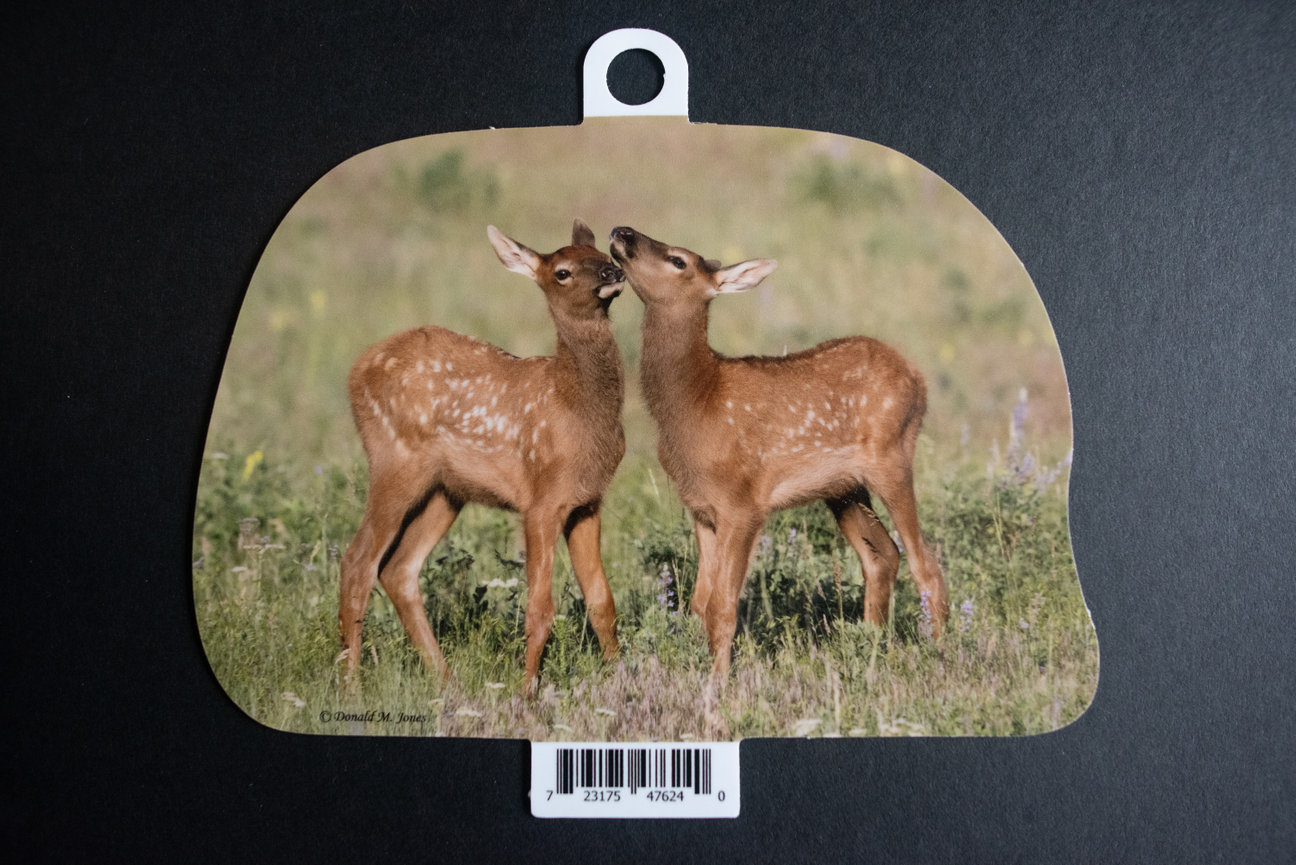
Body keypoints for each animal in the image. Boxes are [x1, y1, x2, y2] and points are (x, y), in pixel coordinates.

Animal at [338, 219, 626, 691]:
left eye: (603, 255)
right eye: (562, 272)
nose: (612, 272)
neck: (573, 404)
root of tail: (355, 372)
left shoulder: (587, 501)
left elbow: (602, 601)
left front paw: (621, 679)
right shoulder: (541, 500)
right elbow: (540, 608)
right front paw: (527, 692)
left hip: (446, 489)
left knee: (398, 569)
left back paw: (446, 681)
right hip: (394, 460)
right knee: (358, 562)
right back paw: (351, 686)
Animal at [609, 225, 949, 675]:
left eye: (678, 260)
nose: (621, 232)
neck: (698, 402)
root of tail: (918, 378)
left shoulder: (743, 503)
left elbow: (722, 607)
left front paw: (719, 683)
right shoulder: (701, 509)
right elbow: (699, 605)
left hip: (892, 457)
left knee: (925, 561)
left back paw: (941, 653)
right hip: (843, 489)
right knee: (883, 555)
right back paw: (872, 649)